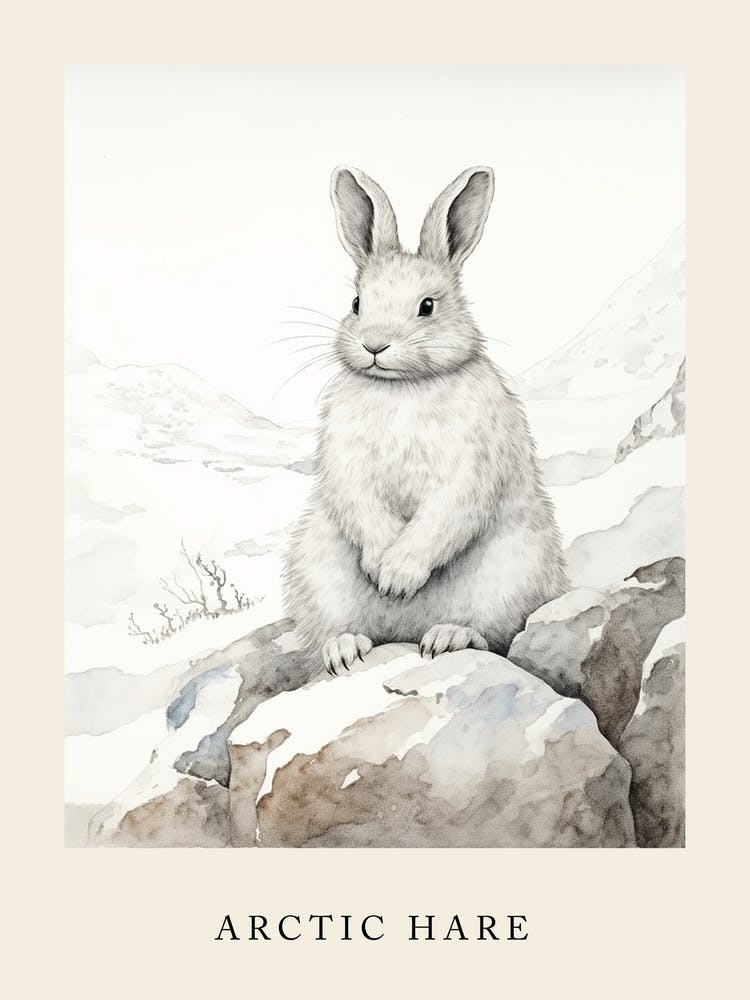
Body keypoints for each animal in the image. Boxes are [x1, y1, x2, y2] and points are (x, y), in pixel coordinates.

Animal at [283, 165, 568, 674]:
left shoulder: (473, 465)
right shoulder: (343, 459)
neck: (402, 387)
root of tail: (405, 631)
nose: (374, 345)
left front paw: (397, 576)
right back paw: (346, 649)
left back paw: (447, 637)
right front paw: (385, 569)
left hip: (515, 568)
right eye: (357, 303)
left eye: (428, 306)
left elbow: (445, 514)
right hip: (317, 569)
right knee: (328, 635)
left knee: (492, 632)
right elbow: (360, 502)